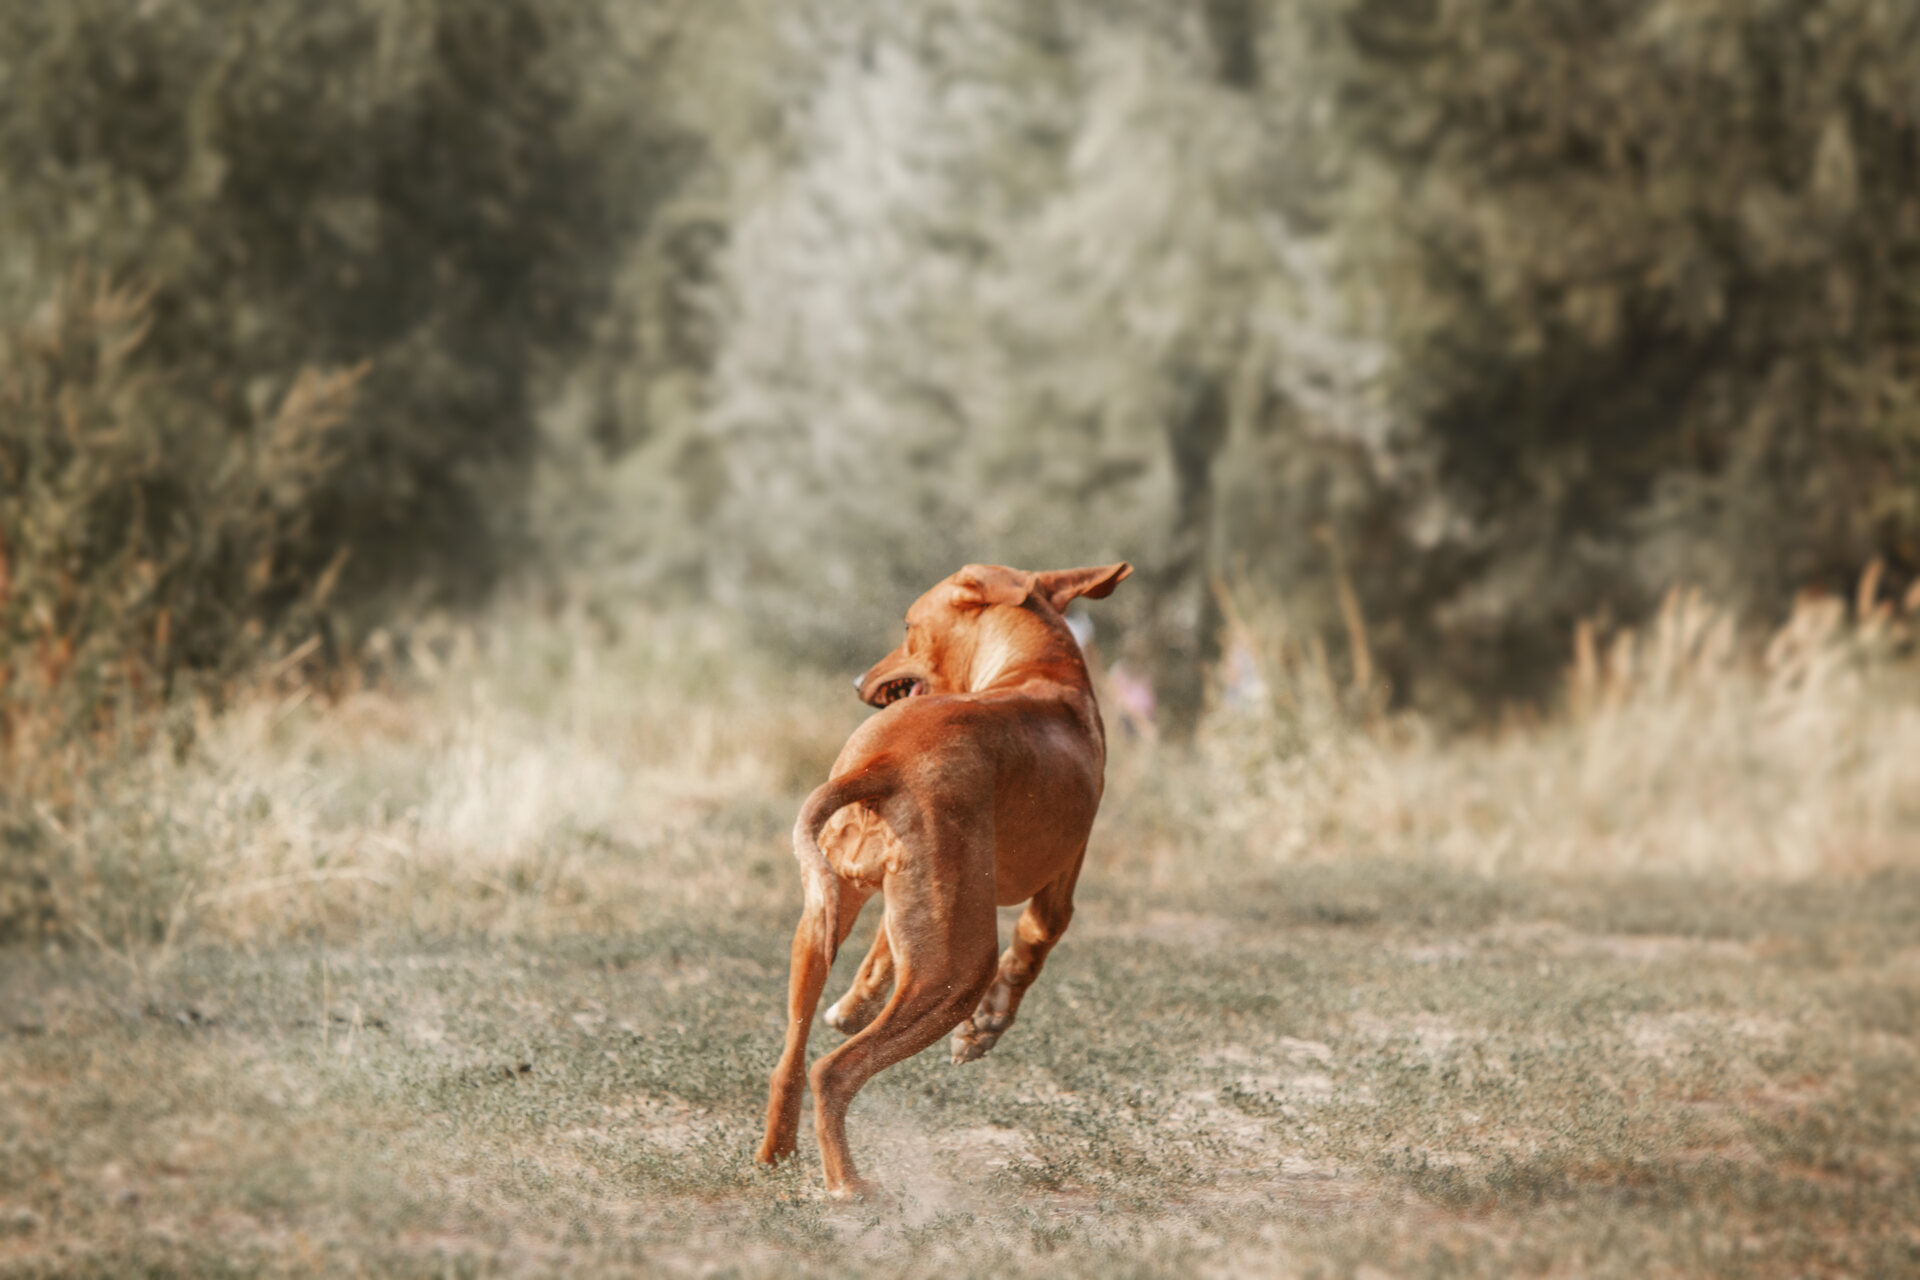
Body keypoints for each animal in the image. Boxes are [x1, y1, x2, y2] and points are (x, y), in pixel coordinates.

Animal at [756, 564, 1128, 1205]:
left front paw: (852, 1005)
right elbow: (1032, 946)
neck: (1038, 666)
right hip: (960, 969)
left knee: (791, 1060)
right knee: (833, 1071)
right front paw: (986, 1028)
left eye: (907, 626)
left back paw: (775, 1154)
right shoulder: (1059, 887)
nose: (858, 680)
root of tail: (884, 762)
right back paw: (848, 1185)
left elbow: (879, 954)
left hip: (824, 922)